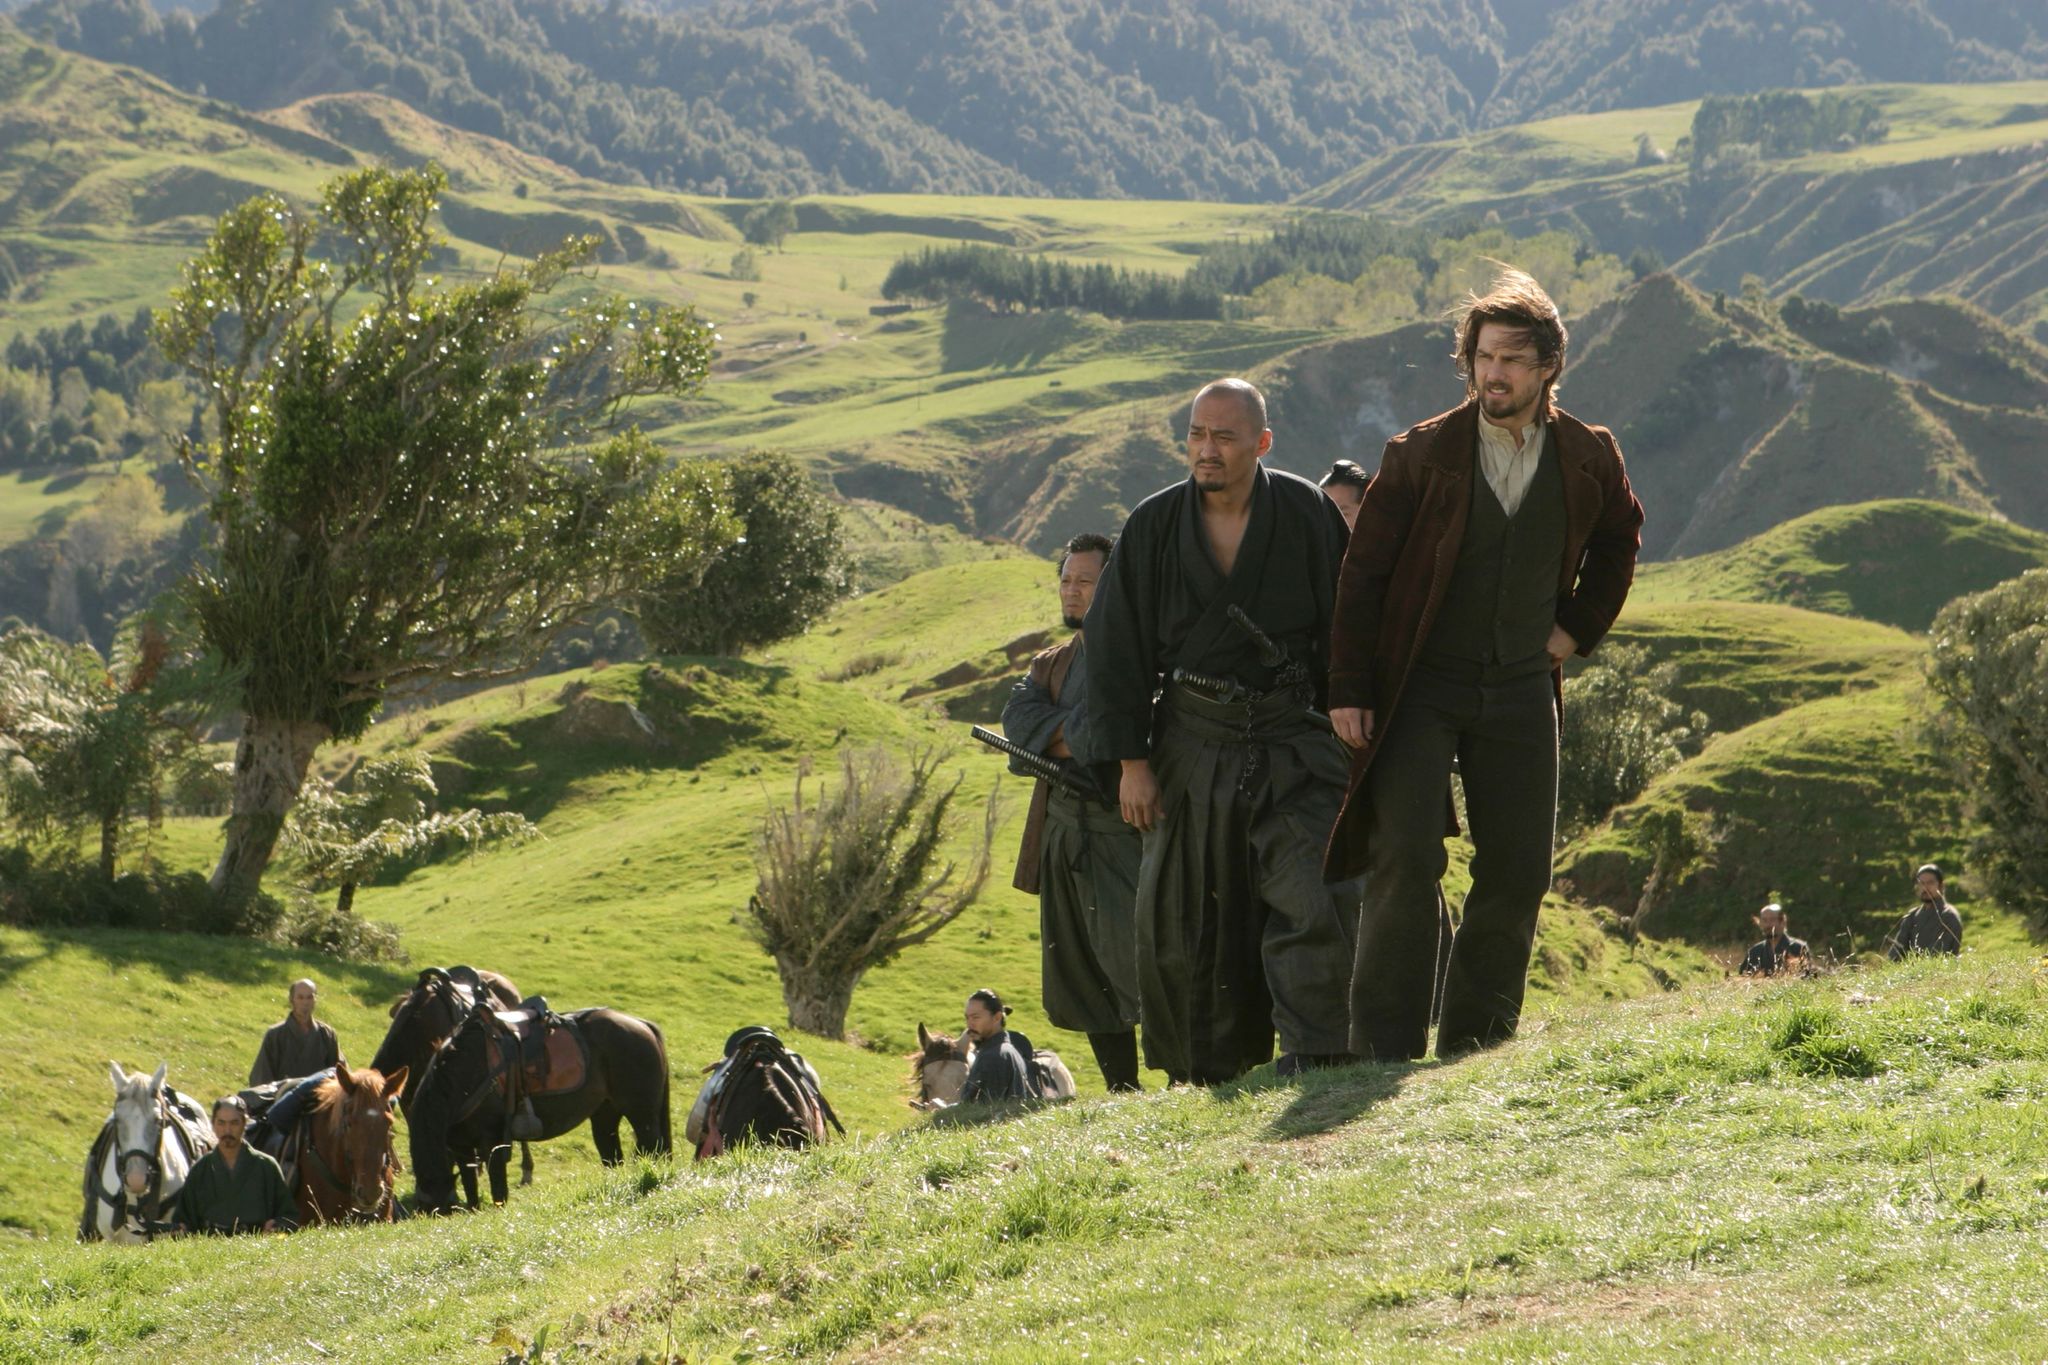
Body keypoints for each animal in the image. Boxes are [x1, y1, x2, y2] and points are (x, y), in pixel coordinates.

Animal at [405, 998, 671, 1211]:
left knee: (652, 1148)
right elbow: (471, 1188)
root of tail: (642, 1024)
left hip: (642, 1115)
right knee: (612, 1156)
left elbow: (498, 1188)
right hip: (605, 1115)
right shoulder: (462, 1148)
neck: (466, 1075)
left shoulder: (493, 1141)